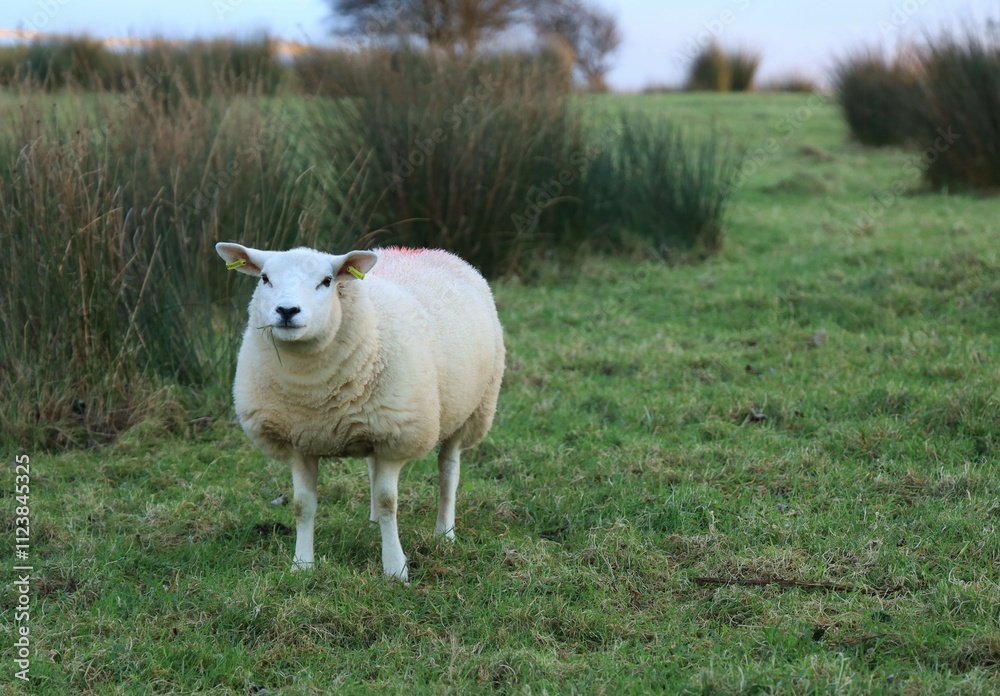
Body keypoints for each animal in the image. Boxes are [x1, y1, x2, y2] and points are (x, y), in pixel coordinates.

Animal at [215, 243, 505, 582]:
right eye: (264, 278)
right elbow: (302, 505)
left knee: (449, 471)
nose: (287, 311)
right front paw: (302, 564)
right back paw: (373, 521)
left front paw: (395, 568)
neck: (313, 392)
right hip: (372, 421)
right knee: (372, 466)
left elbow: (388, 501)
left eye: (327, 281)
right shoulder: (298, 440)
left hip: (470, 411)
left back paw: (444, 532)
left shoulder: (396, 435)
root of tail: (419, 249)